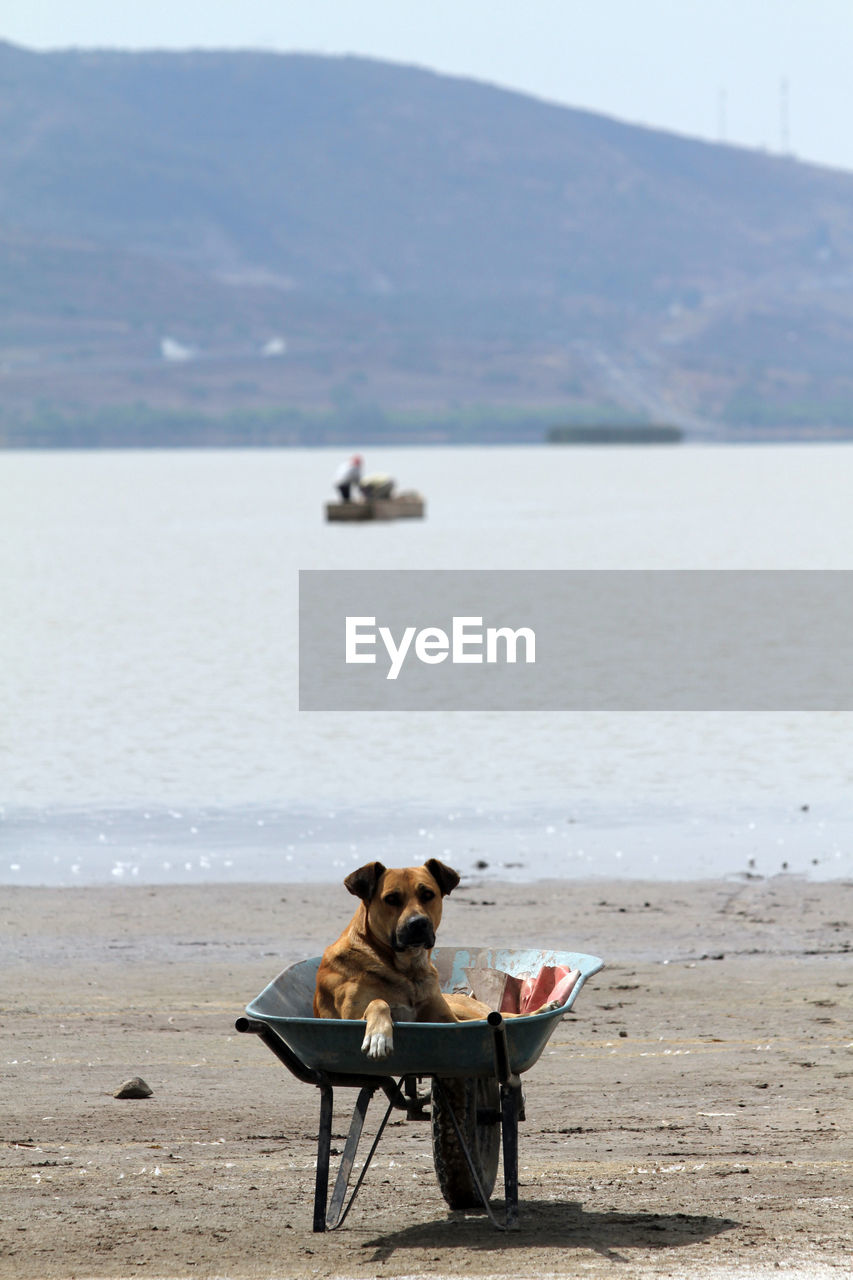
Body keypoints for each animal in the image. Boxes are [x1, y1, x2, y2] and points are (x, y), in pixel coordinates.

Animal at [312, 860, 489, 1059]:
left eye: (428, 894)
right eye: (391, 898)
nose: (418, 923)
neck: (408, 970)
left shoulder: (448, 1021)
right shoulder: (351, 1018)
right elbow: (378, 1002)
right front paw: (379, 1035)